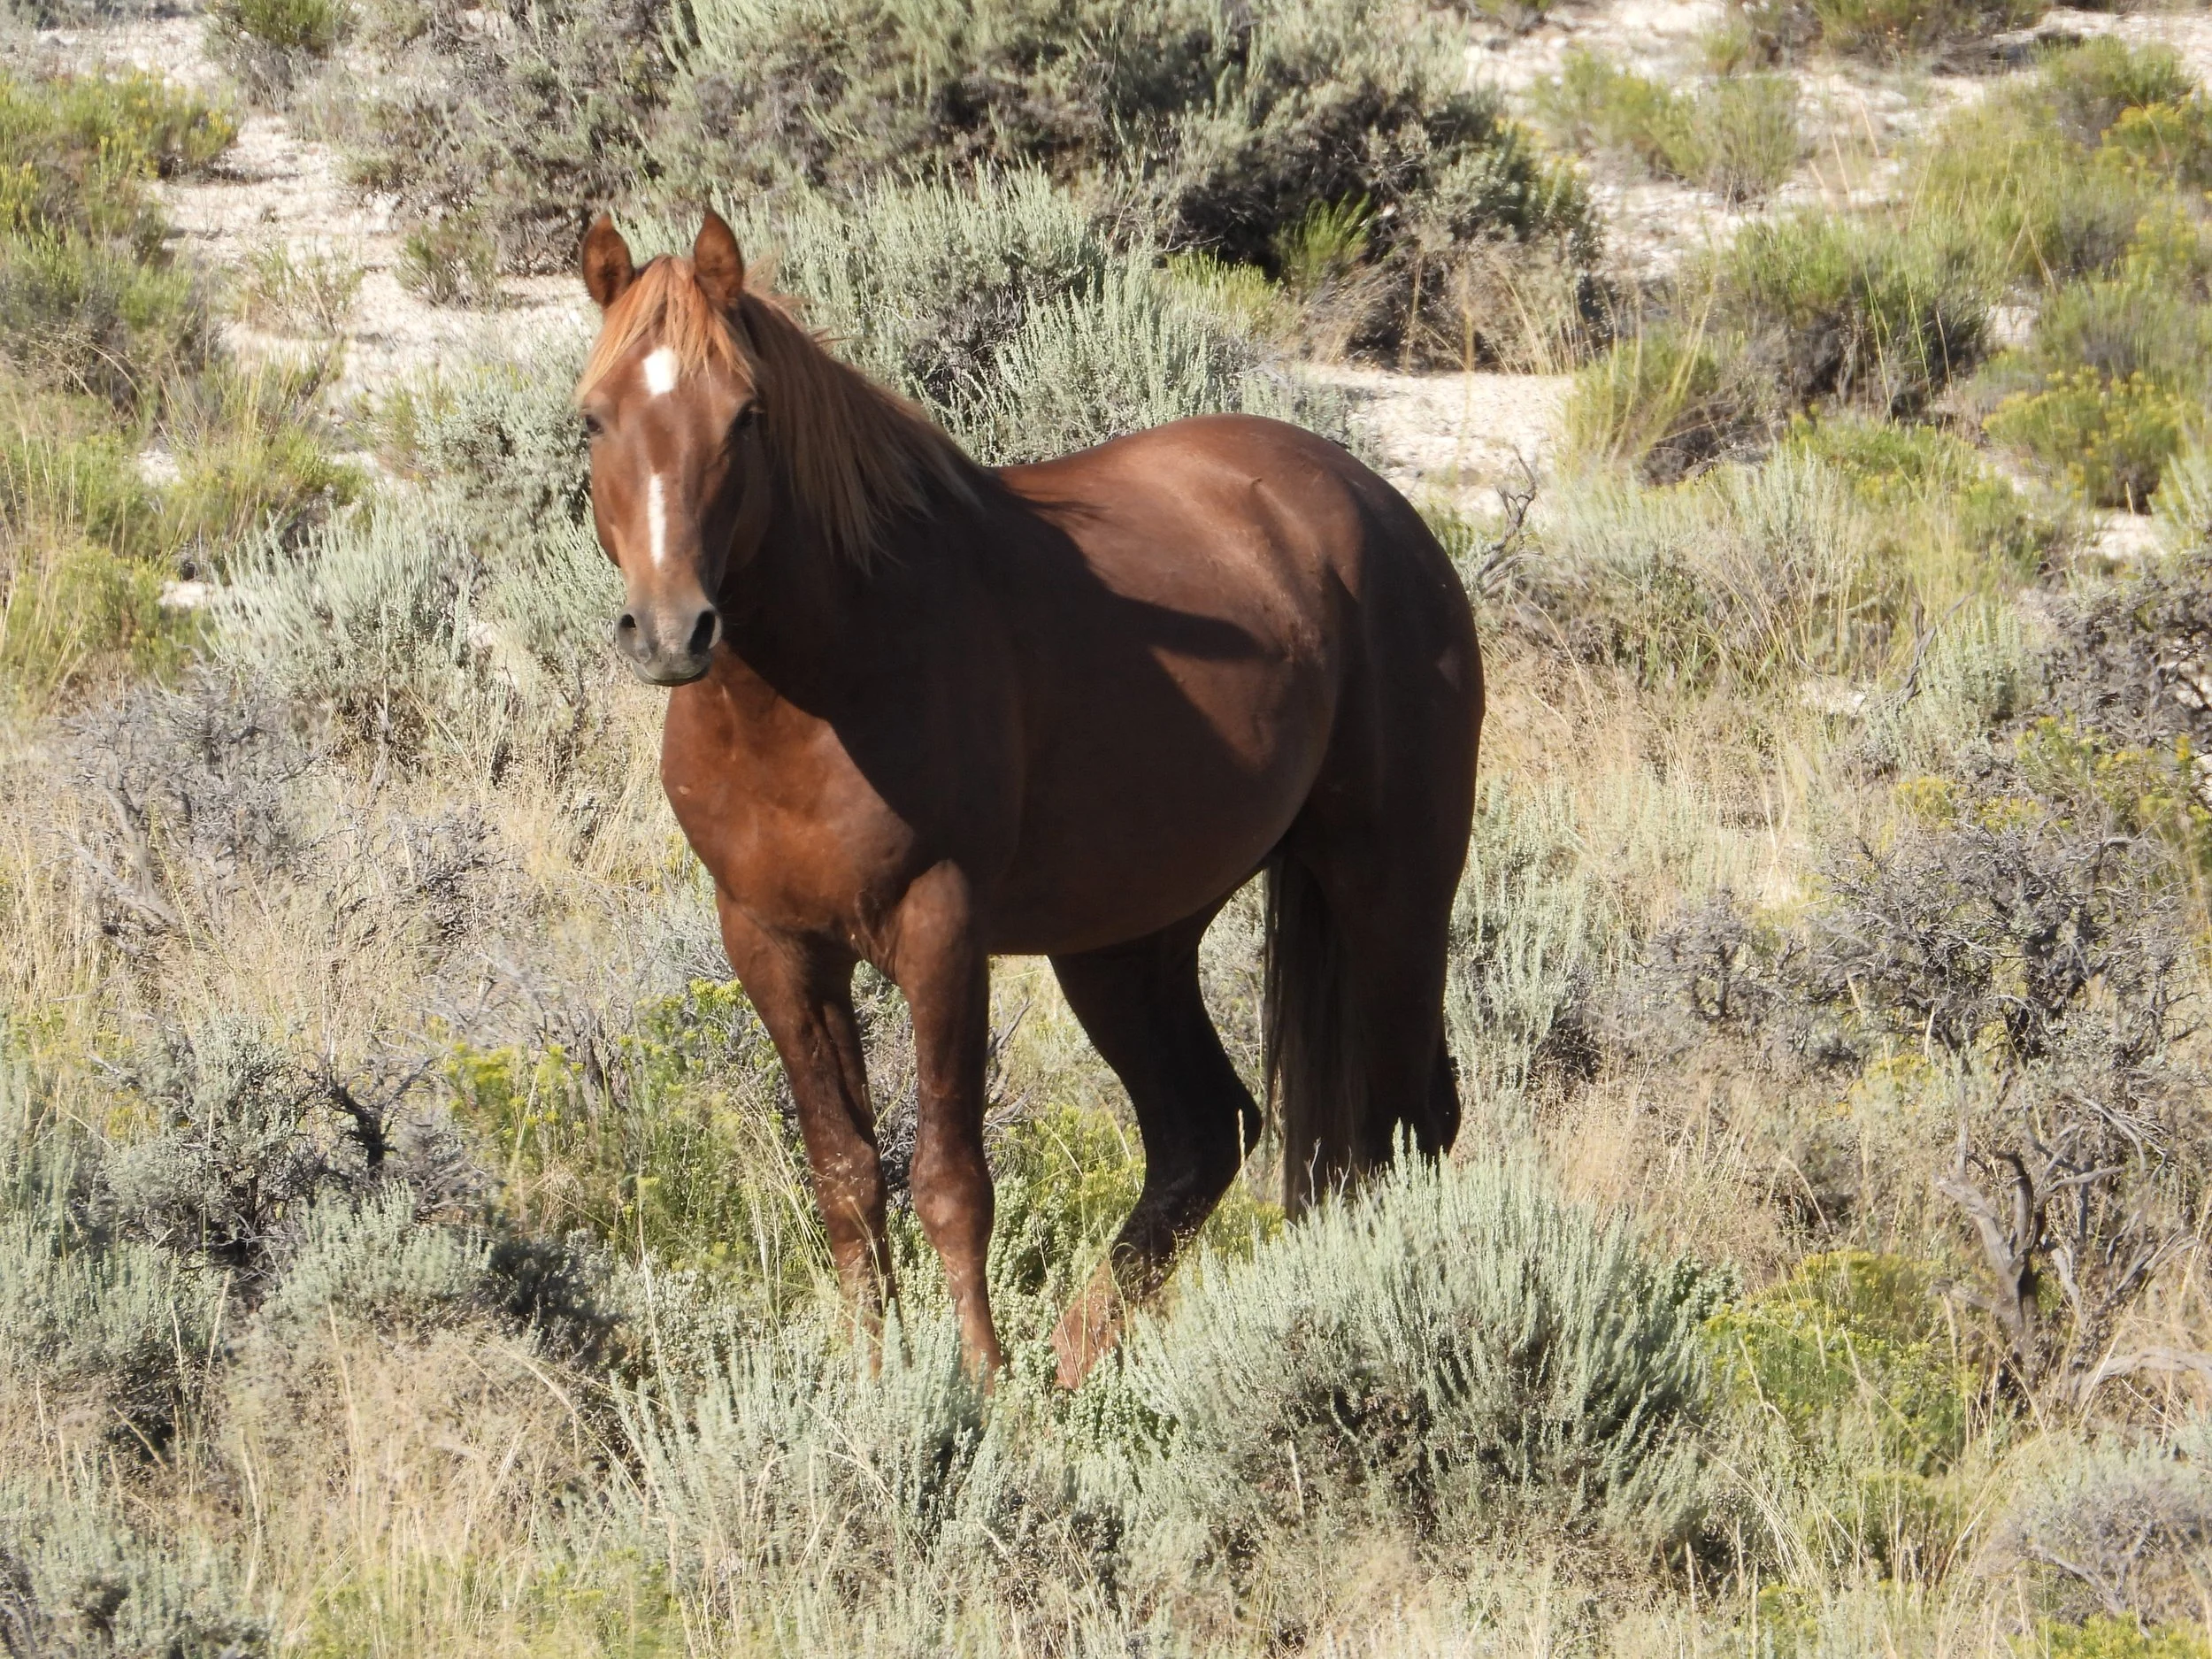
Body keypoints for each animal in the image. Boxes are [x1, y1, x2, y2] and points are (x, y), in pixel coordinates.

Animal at [574, 210, 1483, 1385]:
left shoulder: (941, 929)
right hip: (1127, 941)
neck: (821, 682)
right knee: (1209, 1129)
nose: (671, 629)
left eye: (746, 415)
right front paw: (876, 1382)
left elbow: (950, 1180)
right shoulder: (770, 943)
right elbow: (846, 1176)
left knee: (1412, 1119)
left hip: (1392, 887)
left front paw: (975, 1383)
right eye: (593, 417)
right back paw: (1076, 1361)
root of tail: (1378, 506)